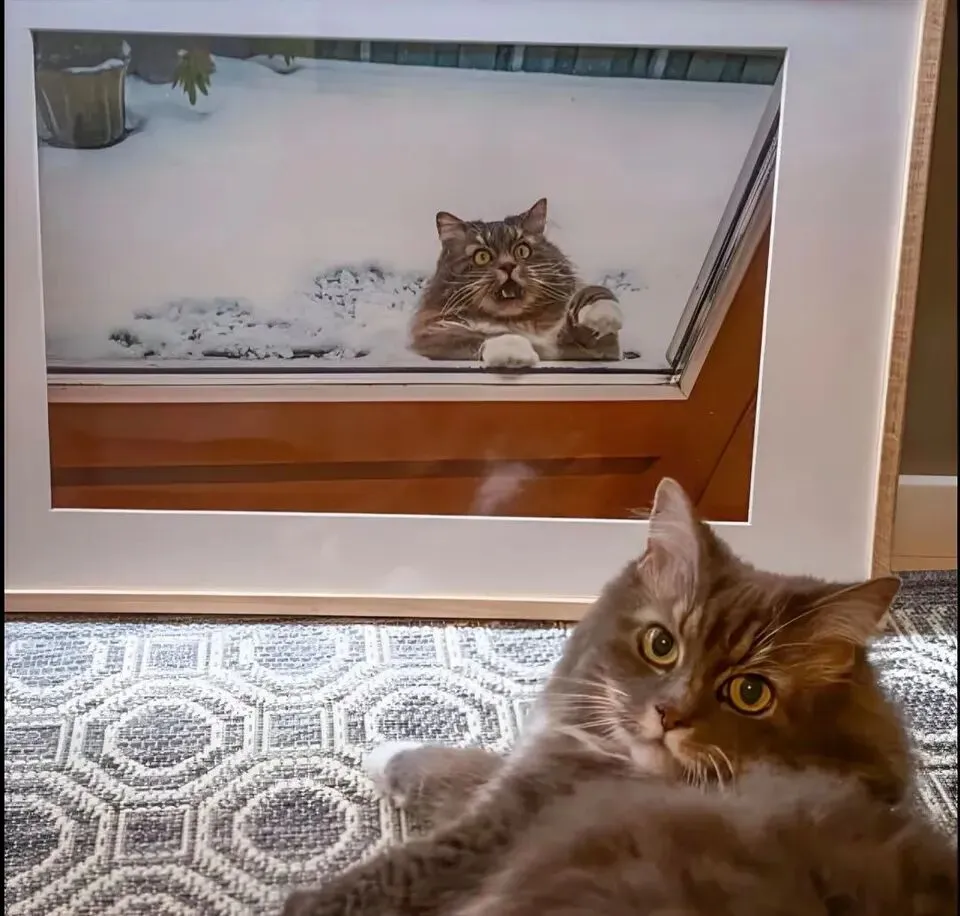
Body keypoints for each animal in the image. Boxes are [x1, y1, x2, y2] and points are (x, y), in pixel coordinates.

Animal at [282, 478, 956, 916]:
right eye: (661, 645)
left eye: (750, 692)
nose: (669, 714)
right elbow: (467, 764)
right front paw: (385, 750)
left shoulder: (504, 823)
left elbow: (400, 867)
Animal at [409, 197, 624, 369]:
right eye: (482, 256)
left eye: (522, 250)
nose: (508, 266)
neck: (520, 323)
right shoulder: (437, 335)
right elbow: (485, 336)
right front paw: (515, 354)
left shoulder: (598, 348)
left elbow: (595, 293)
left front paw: (603, 315)